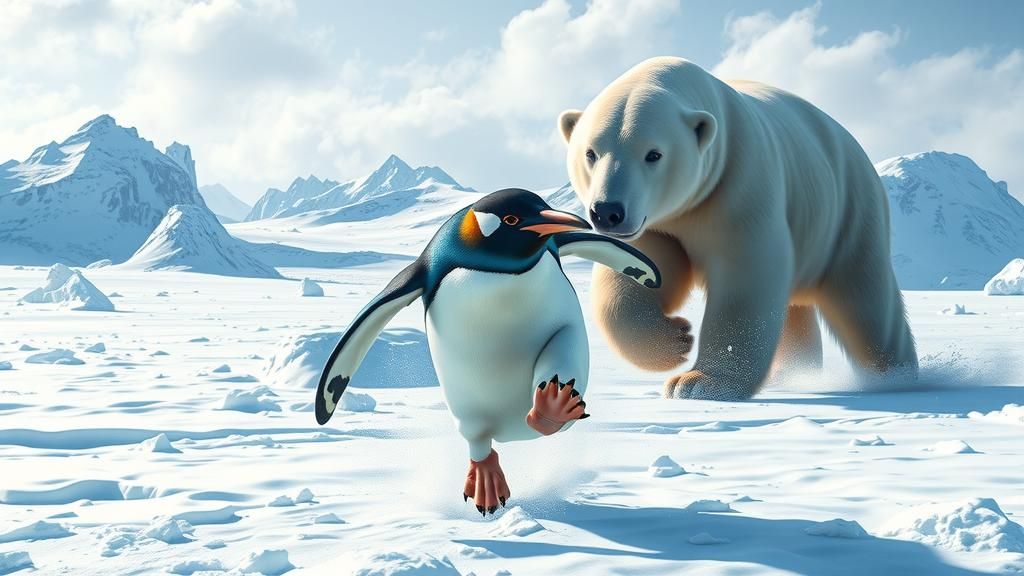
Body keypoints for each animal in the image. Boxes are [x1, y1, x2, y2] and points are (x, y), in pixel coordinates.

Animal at [557, 56, 918, 400]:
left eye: (654, 154)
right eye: (590, 152)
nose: (607, 212)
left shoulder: (738, 188)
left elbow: (745, 278)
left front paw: (699, 383)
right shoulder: (658, 223)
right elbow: (638, 272)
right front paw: (675, 340)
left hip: (849, 210)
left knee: (865, 298)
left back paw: (897, 377)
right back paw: (794, 373)